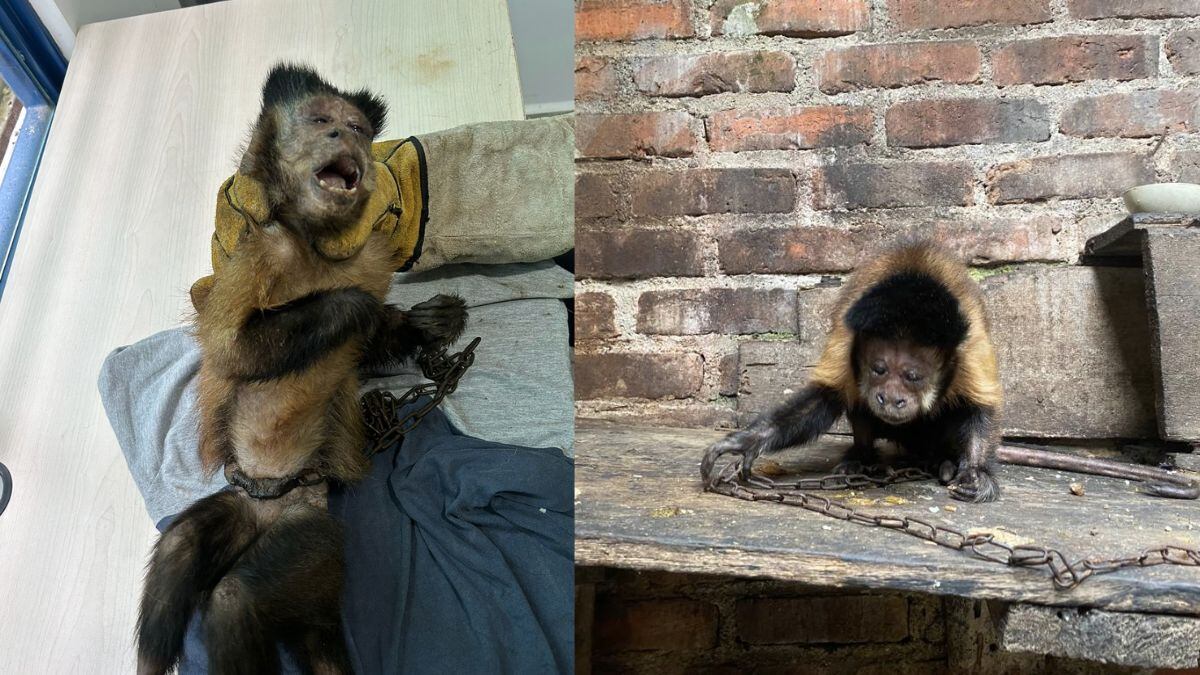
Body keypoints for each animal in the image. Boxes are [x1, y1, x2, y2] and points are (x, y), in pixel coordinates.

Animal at [136, 64, 467, 675]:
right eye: (319, 121)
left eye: (356, 128)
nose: (343, 138)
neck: (315, 247)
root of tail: (268, 506)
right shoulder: (259, 249)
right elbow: (231, 350)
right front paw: (355, 306)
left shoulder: (368, 254)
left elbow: (370, 341)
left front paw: (429, 323)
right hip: (242, 502)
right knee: (180, 548)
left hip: (308, 533)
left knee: (236, 596)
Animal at [701, 241, 1198, 503]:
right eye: (879, 369)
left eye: (913, 376)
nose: (891, 398)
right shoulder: (847, 332)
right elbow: (827, 398)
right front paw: (750, 441)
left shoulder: (970, 342)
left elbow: (981, 408)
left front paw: (974, 471)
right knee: (857, 408)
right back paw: (864, 456)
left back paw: (943, 462)